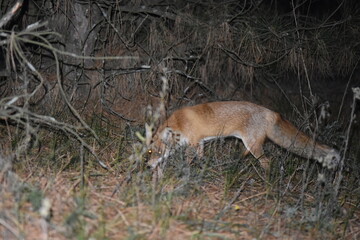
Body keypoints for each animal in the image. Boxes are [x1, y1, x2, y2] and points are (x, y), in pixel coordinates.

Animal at [147, 100, 340, 173]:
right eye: (149, 152)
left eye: (157, 152)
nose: (148, 166)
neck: (180, 123)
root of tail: (271, 113)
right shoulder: (199, 143)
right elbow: (197, 158)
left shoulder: (194, 142)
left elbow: (191, 159)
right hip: (249, 144)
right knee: (248, 155)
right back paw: (236, 162)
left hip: (253, 145)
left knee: (267, 162)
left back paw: (268, 181)